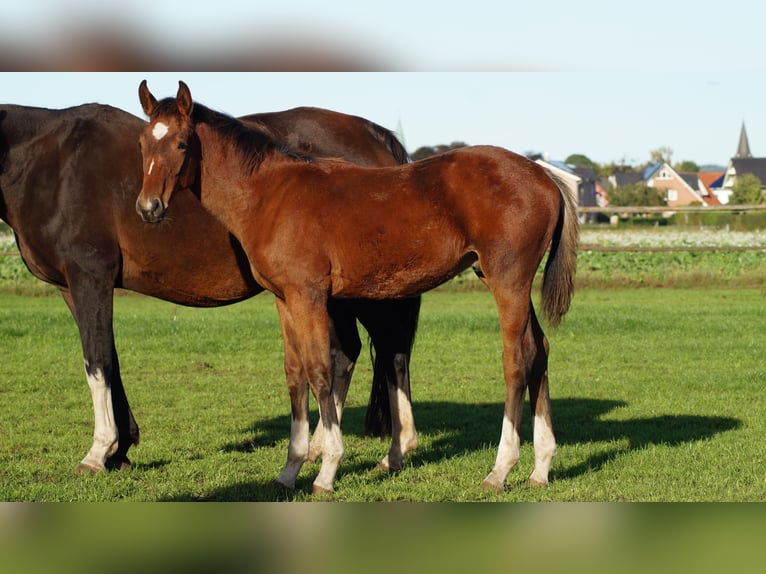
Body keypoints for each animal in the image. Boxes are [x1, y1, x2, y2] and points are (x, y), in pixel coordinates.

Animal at [0, 100, 420, 476]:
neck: (52, 162)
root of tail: (377, 137)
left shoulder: (90, 277)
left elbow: (97, 361)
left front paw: (98, 453)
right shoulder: (71, 288)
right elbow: (110, 360)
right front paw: (121, 450)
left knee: (392, 351)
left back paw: (392, 452)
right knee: (347, 354)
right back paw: (320, 448)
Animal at [136, 80, 578, 494]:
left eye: (181, 143)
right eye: (142, 142)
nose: (148, 208)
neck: (271, 194)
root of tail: (545, 175)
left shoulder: (309, 295)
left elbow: (320, 370)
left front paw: (326, 470)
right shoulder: (283, 299)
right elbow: (295, 373)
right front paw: (289, 470)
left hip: (507, 279)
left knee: (516, 359)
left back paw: (500, 470)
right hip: (505, 281)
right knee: (539, 349)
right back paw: (541, 468)